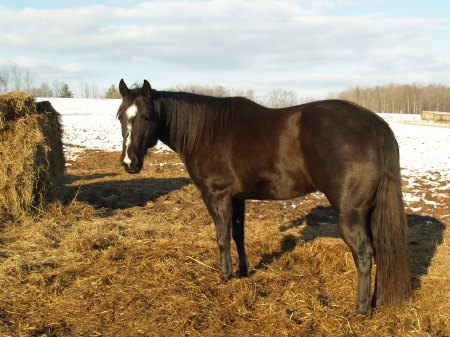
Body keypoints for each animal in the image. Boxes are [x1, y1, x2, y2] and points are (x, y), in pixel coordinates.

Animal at [116, 78, 412, 312]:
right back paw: (376, 300)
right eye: (120, 116)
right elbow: (238, 235)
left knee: (363, 252)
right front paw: (243, 272)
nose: (129, 162)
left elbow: (222, 237)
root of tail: (374, 123)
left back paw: (360, 308)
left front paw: (225, 276)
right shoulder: (237, 198)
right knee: (380, 250)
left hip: (350, 212)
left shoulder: (216, 195)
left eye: (146, 117)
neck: (206, 131)